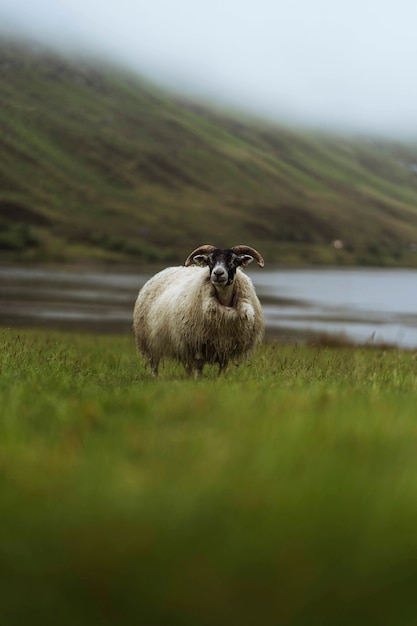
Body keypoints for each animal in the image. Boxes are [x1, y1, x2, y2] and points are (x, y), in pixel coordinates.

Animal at [133, 244, 264, 376]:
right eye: (209, 261)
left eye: (234, 261)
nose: (218, 273)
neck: (223, 302)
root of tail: (163, 271)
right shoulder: (197, 341)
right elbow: (199, 365)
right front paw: (197, 379)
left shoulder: (226, 345)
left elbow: (223, 366)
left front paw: (221, 378)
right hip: (151, 340)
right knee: (154, 364)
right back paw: (155, 377)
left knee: (186, 365)